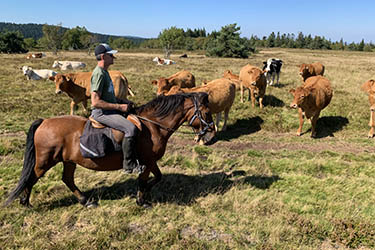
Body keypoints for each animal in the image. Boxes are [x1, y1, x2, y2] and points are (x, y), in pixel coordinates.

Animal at [2, 92, 216, 207]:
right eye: (206, 112)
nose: (211, 134)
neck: (152, 125)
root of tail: (44, 121)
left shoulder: (151, 161)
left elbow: (158, 177)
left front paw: (144, 194)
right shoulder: (147, 161)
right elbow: (145, 179)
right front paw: (141, 200)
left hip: (69, 160)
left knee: (67, 179)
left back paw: (85, 201)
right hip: (44, 161)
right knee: (31, 178)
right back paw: (25, 202)